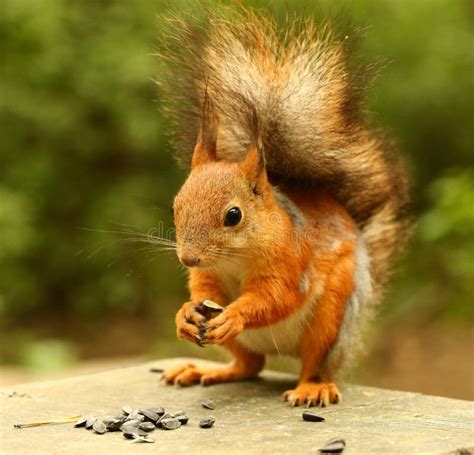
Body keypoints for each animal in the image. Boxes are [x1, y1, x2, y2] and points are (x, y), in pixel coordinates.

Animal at [157, 7, 410, 408]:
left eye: (233, 215)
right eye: (175, 207)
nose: (188, 258)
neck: (236, 258)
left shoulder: (290, 262)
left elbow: (277, 297)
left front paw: (236, 314)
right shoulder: (209, 276)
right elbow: (204, 291)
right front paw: (184, 314)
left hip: (332, 319)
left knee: (313, 364)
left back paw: (312, 387)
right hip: (247, 347)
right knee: (250, 365)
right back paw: (204, 370)